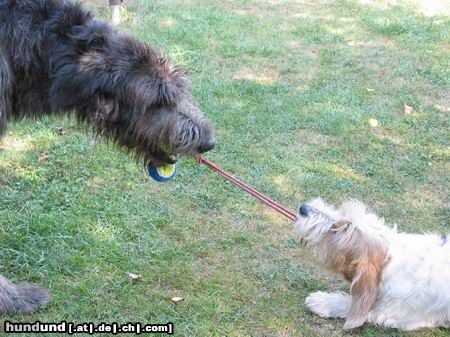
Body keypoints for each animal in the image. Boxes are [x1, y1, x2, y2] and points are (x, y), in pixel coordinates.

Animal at [296, 198, 450, 330]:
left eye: (342, 229)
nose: (303, 208)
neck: (390, 262)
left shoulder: (392, 312)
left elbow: (354, 305)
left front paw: (321, 301)